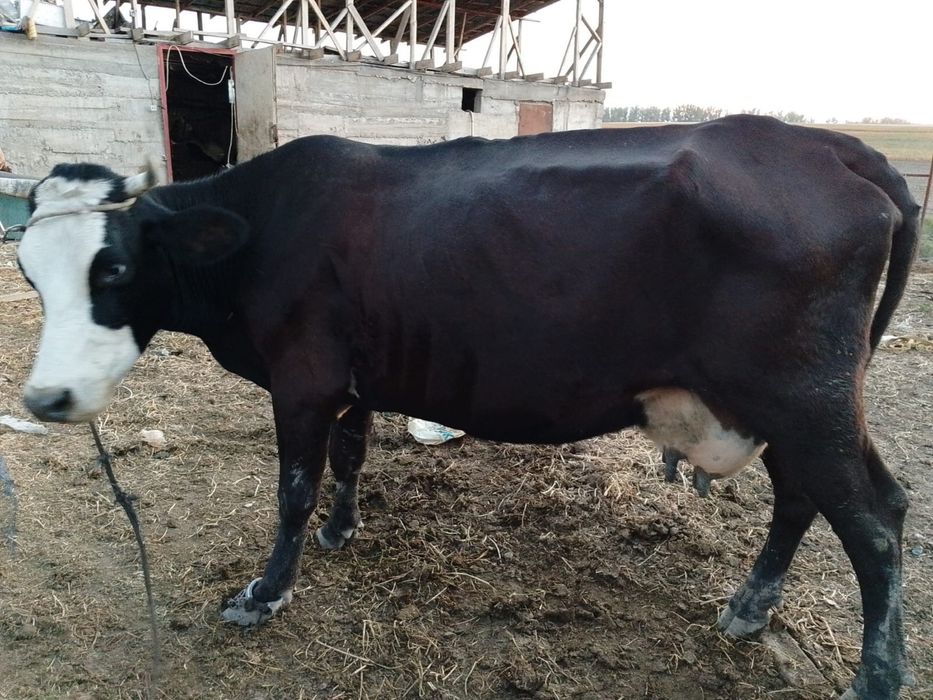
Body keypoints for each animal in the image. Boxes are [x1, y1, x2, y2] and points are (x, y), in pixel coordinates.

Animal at [14, 115, 918, 699]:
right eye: (28, 269)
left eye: (115, 268)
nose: (48, 397)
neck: (264, 229)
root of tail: (826, 145)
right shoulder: (357, 375)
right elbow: (349, 456)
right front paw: (343, 531)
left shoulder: (303, 378)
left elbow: (292, 490)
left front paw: (265, 592)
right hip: (800, 404)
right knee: (811, 497)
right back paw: (749, 606)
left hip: (803, 397)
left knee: (873, 520)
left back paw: (874, 677)